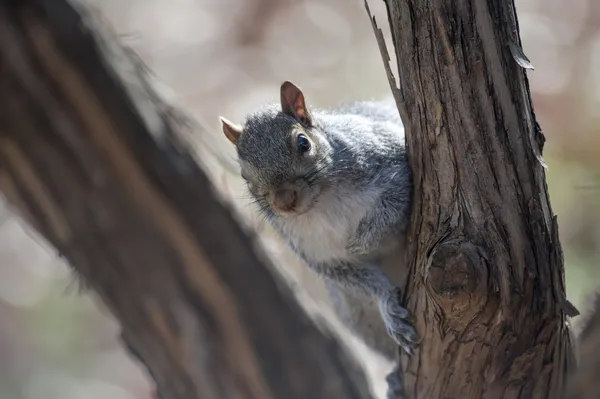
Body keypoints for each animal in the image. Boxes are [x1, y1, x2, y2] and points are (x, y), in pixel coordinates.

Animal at [219, 81, 418, 396]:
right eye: (244, 175)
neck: (322, 203)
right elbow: (360, 279)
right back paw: (396, 376)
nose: (284, 200)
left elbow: (394, 202)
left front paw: (360, 241)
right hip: (358, 317)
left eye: (303, 143)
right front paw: (388, 305)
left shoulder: (392, 161)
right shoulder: (322, 258)